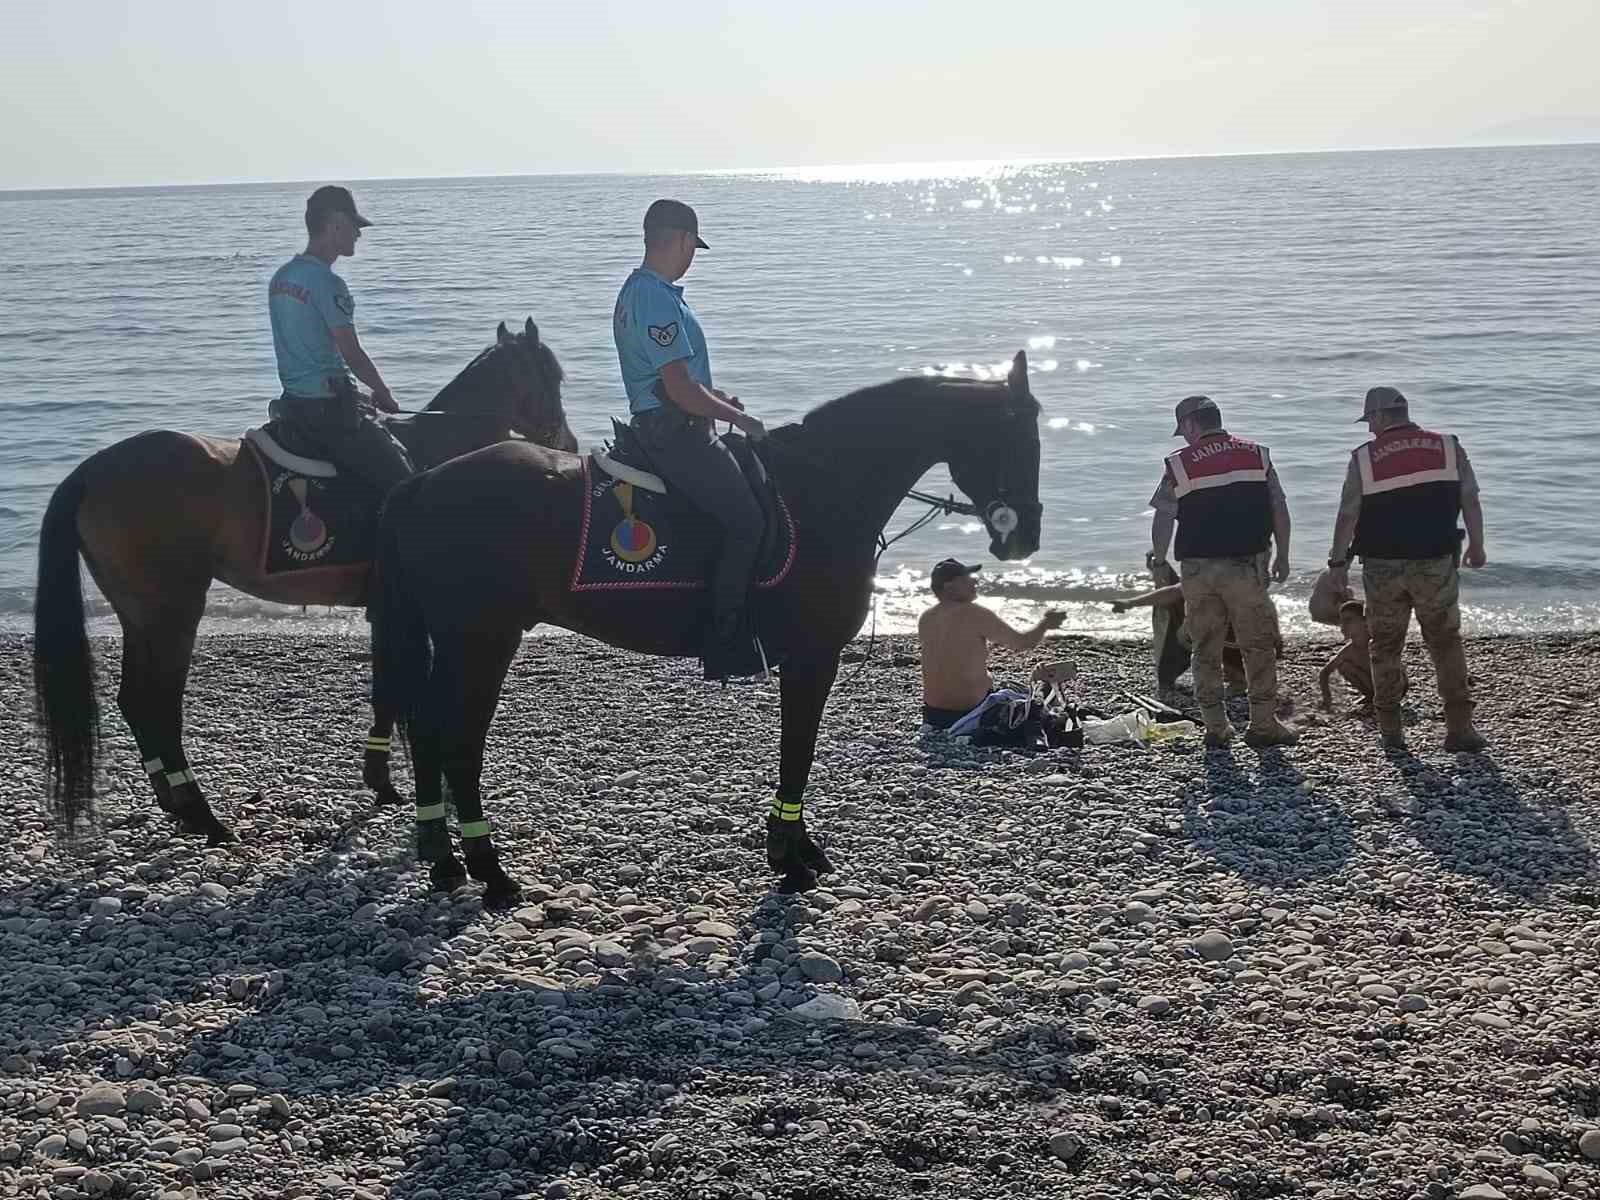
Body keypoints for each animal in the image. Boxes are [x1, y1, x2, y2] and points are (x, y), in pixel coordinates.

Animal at [32, 320, 576, 844]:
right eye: (553, 378)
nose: (567, 444)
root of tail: (92, 471)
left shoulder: (384, 610)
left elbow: (384, 691)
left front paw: (380, 781)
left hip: (138, 612)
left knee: (134, 701)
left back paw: (175, 803)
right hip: (173, 611)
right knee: (157, 704)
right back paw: (204, 818)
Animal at [371, 352, 1049, 908]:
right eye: (1017, 436)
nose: (1025, 536)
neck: (823, 487)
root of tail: (421, 483)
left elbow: (796, 749)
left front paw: (796, 848)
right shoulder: (813, 655)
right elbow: (798, 749)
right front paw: (789, 858)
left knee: (427, 730)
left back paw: (445, 862)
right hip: (481, 642)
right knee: (457, 740)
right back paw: (490, 873)